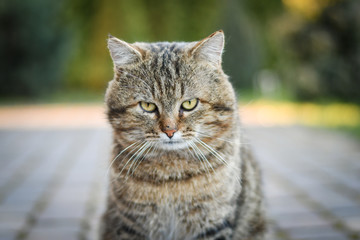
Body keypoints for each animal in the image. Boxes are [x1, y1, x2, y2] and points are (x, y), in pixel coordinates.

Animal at [100, 30, 266, 240]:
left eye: (189, 103)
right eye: (147, 106)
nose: (169, 130)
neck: (171, 175)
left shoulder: (213, 223)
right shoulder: (133, 223)